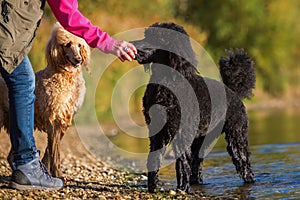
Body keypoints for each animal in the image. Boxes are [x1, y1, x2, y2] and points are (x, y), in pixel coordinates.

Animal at [134, 21, 255, 192]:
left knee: (243, 163)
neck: (168, 82)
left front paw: (182, 188)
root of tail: (232, 91)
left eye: (158, 37)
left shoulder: (181, 132)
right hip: (202, 138)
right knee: (197, 163)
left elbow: (182, 162)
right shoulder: (156, 131)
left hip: (236, 135)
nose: (133, 46)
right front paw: (152, 187)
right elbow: (154, 158)